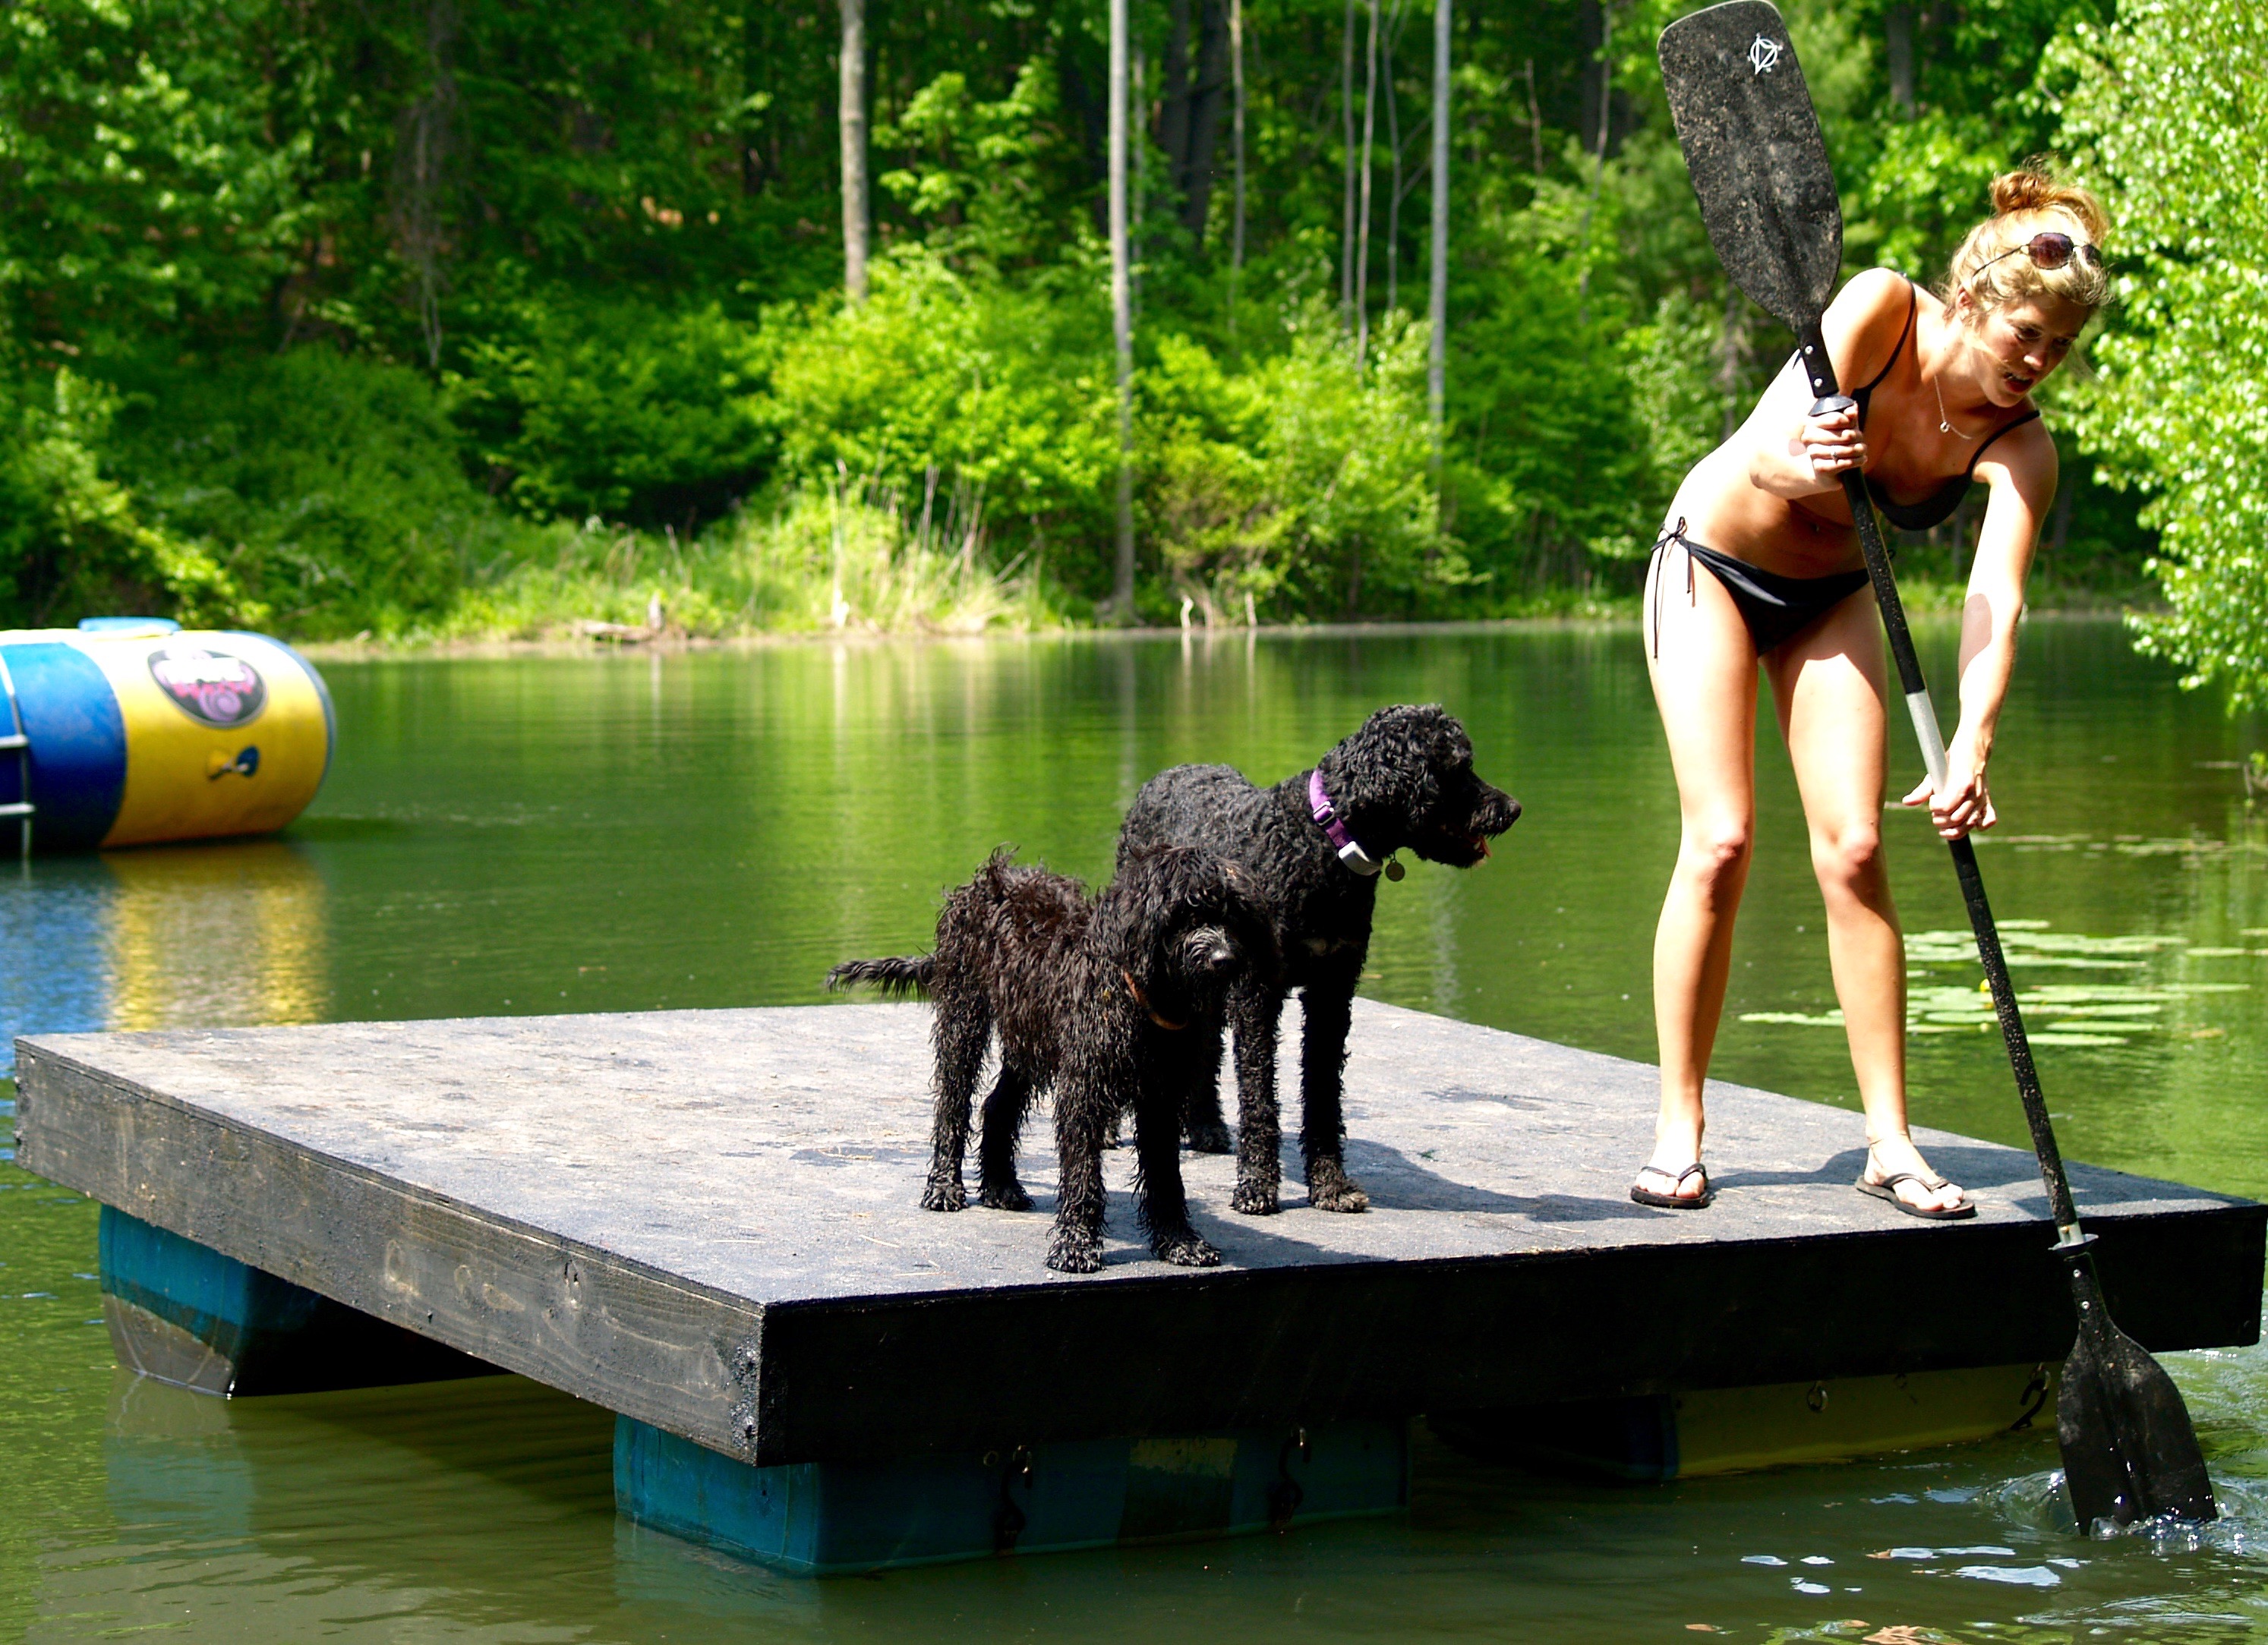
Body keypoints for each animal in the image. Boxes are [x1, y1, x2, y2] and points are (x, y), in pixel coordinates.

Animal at [830, 839, 1279, 1279]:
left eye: (1234, 916)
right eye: (1186, 913)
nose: (1224, 959)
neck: (1135, 995)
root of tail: (983, 882)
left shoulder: (1161, 1095)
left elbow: (1167, 1177)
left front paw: (1180, 1242)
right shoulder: (1083, 1089)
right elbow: (1083, 1177)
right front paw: (1076, 1246)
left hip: (1028, 1040)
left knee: (997, 1106)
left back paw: (1001, 1187)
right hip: (964, 1015)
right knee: (953, 1104)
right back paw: (943, 1186)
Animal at [1120, 698, 1524, 1216]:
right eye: (1459, 767)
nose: (1512, 809)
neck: (1320, 845)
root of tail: (1169, 773)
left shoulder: (1333, 989)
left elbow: (1323, 1092)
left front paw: (1330, 1183)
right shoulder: (1258, 992)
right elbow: (1259, 1094)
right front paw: (1257, 1185)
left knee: (1207, 1046)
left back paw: (1207, 1125)